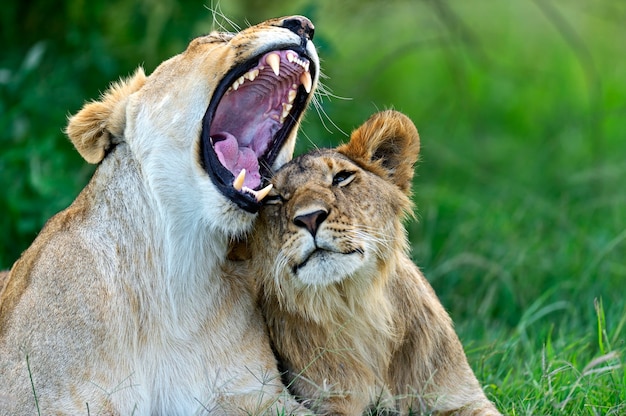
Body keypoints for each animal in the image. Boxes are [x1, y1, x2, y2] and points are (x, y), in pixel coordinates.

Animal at [241, 111, 500, 416]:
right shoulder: (327, 404)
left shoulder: (463, 397)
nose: (309, 217)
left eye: (341, 177)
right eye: (275, 197)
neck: (360, 306)